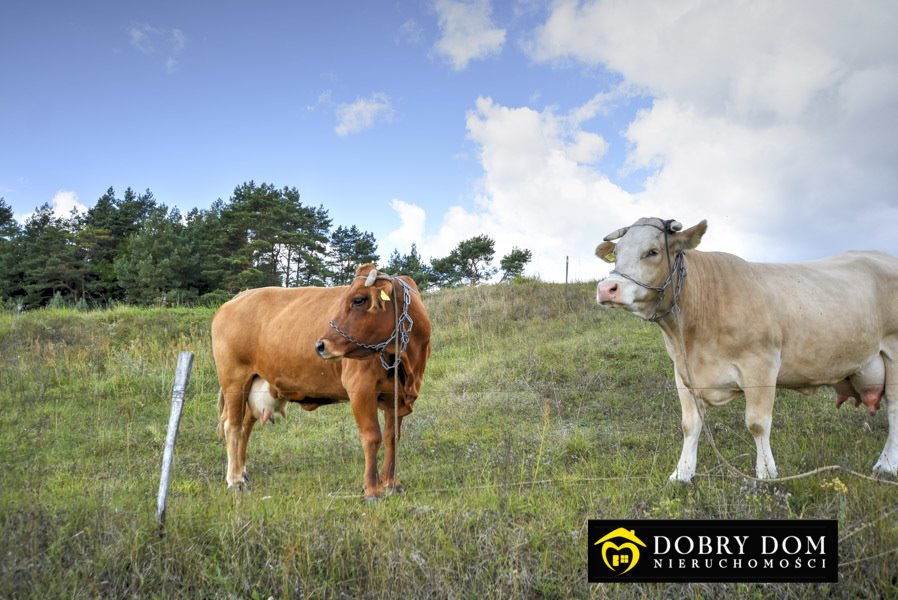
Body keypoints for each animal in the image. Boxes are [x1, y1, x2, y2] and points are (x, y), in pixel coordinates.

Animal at [214, 264, 430, 500]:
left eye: (358, 300)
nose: (320, 345)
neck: (406, 361)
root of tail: (240, 296)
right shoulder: (360, 388)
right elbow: (372, 436)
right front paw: (372, 490)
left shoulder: (395, 394)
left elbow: (392, 437)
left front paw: (392, 483)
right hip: (234, 382)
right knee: (232, 426)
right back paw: (235, 480)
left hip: (254, 387)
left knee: (245, 426)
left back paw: (243, 474)